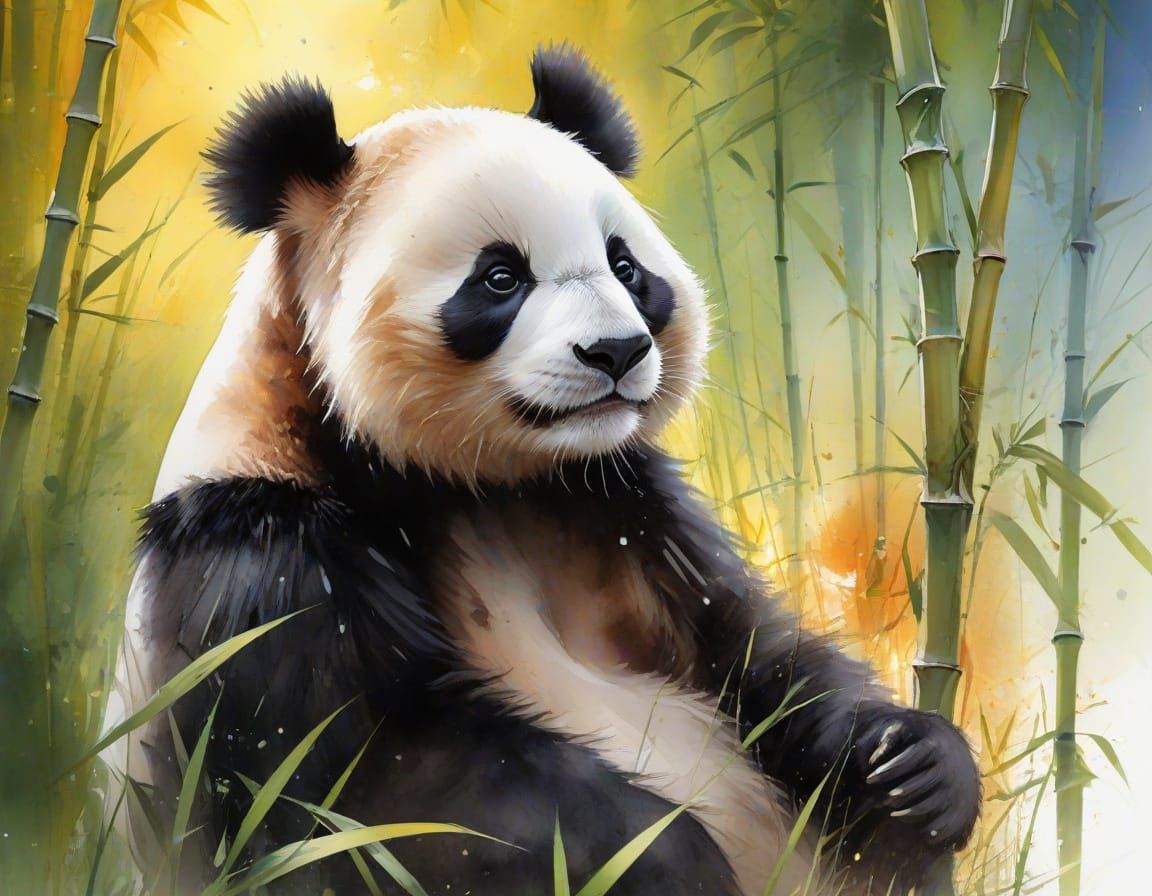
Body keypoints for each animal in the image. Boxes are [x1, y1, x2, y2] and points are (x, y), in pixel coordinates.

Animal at [117, 45, 980, 896]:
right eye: (500, 277)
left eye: (624, 266)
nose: (617, 352)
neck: (477, 482)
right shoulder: (259, 555)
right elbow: (363, 788)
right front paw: (666, 855)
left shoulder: (624, 504)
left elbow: (754, 655)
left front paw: (914, 764)